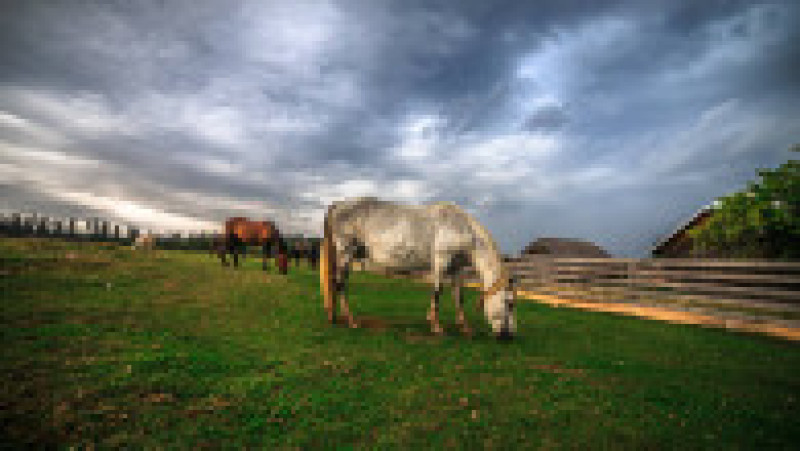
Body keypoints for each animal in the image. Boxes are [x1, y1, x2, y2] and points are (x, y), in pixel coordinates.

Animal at [320, 196, 520, 340]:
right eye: (509, 303)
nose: (509, 335)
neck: (461, 227)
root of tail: (339, 204)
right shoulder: (441, 262)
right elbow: (437, 292)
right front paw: (436, 326)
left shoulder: (456, 269)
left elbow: (458, 297)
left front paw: (465, 327)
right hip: (346, 253)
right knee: (340, 284)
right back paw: (351, 321)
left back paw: (334, 317)